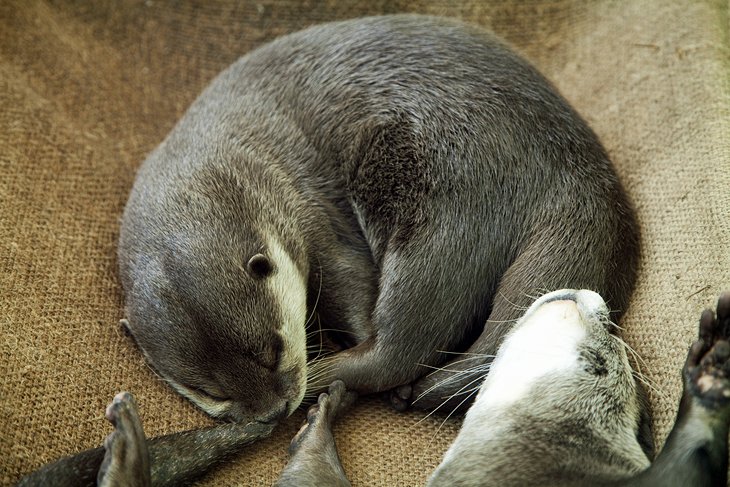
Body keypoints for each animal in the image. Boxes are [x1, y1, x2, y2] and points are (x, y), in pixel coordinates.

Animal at [114, 14, 636, 428]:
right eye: (211, 391)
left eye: (273, 350)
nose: (274, 412)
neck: (242, 156)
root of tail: (575, 168)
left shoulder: (307, 207)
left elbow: (347, 275)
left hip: (443, 198)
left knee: (402, 343)